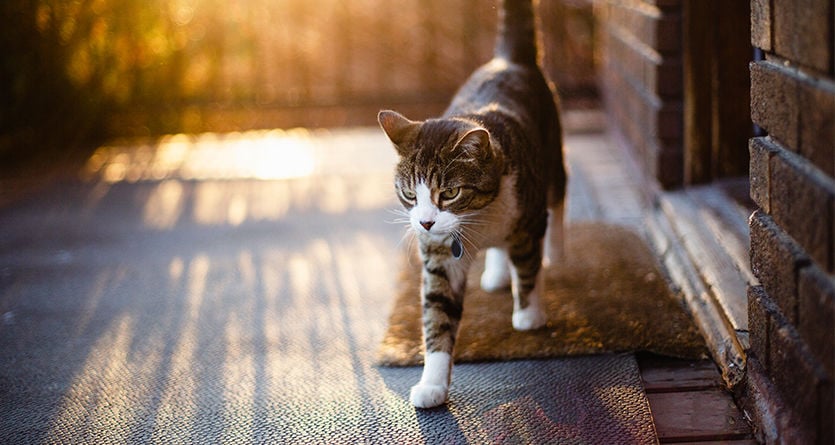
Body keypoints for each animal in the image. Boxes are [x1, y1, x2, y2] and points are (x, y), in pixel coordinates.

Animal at [378, 0, 568, 410]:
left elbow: (528, 267)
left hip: (552, 154)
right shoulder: (438, 257)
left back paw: (556, 253)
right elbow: (437, 314)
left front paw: (529, 313)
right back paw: (496, 273)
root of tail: (510, 59)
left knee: (559, 198)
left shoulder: (527, 217)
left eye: (449, 193)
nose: (426, 223)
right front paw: (432, 384)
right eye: (410, 195)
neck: (477, 219)